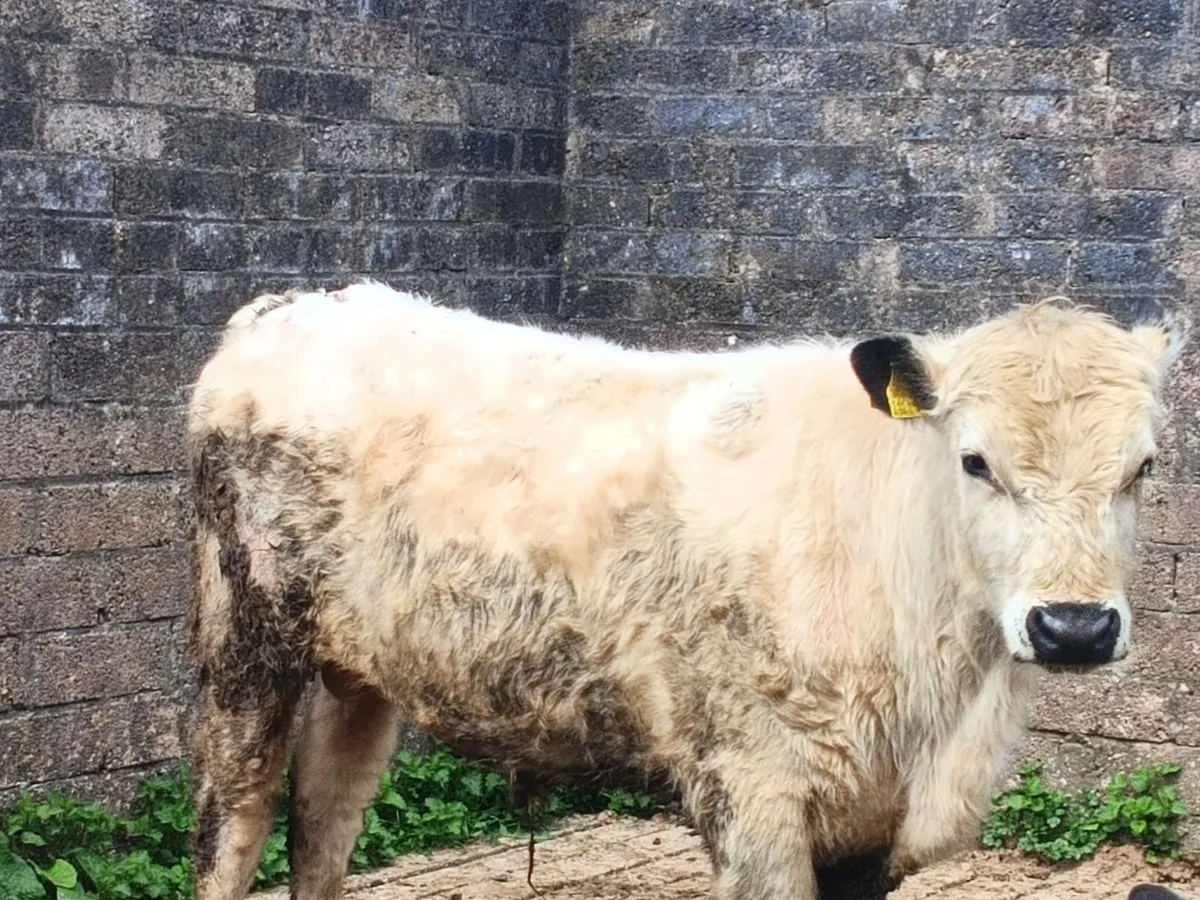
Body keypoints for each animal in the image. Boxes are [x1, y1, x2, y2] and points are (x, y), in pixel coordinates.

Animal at [185, 282, 1186, 900]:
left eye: (1143, 467)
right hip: (244, 640)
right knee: (235, 821)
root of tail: (292, 307)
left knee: (325, 816)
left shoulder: (873, 826)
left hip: (361, 669)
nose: (1073, 627)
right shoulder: (754, 793)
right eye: (976, 461)